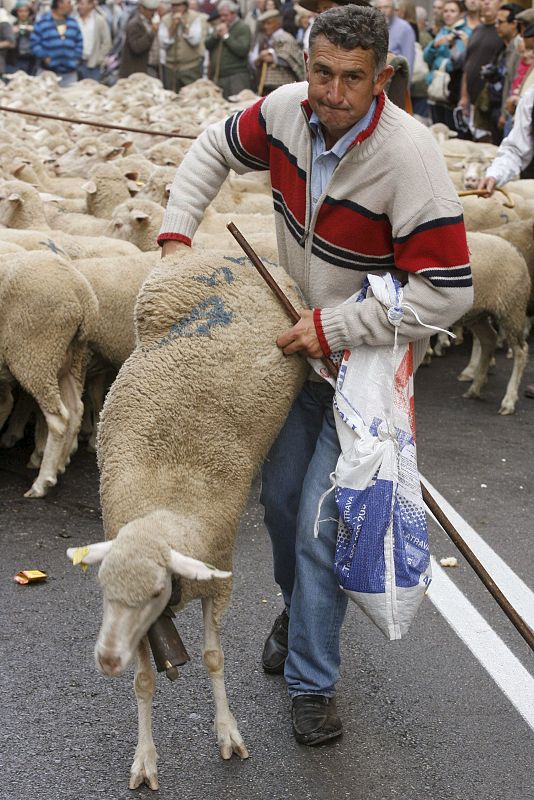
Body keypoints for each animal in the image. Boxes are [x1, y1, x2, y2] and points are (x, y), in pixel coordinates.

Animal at [68, 250, 310, 788]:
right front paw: (145, 758)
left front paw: (228, 733)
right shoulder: (141, 626)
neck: (161, 514)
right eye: (101, 590)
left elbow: (213, 658)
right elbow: (143, 680)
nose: (106, 660)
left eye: (157, 590)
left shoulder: (219, 581)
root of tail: (223, 252)